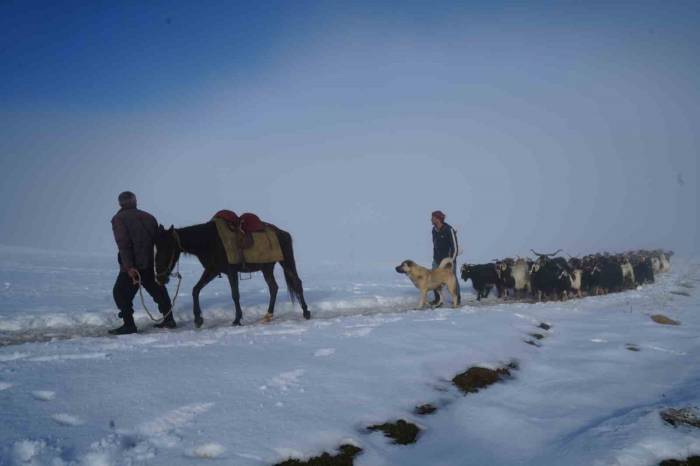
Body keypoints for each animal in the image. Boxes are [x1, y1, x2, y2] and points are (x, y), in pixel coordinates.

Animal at [156, 222, 312, 328]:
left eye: (167, 248)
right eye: (157, 247)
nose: (160, 278)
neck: (209, 241)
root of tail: (283, 234)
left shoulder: (231, 272)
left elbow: (235, 295)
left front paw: (237, 320)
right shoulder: (212, 270)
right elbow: (195, 290)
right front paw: (198, 319)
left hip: (286, 262)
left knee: (296, 282)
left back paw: (306, 312)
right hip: (267, 268)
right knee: (274, 287)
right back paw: (268, 316)